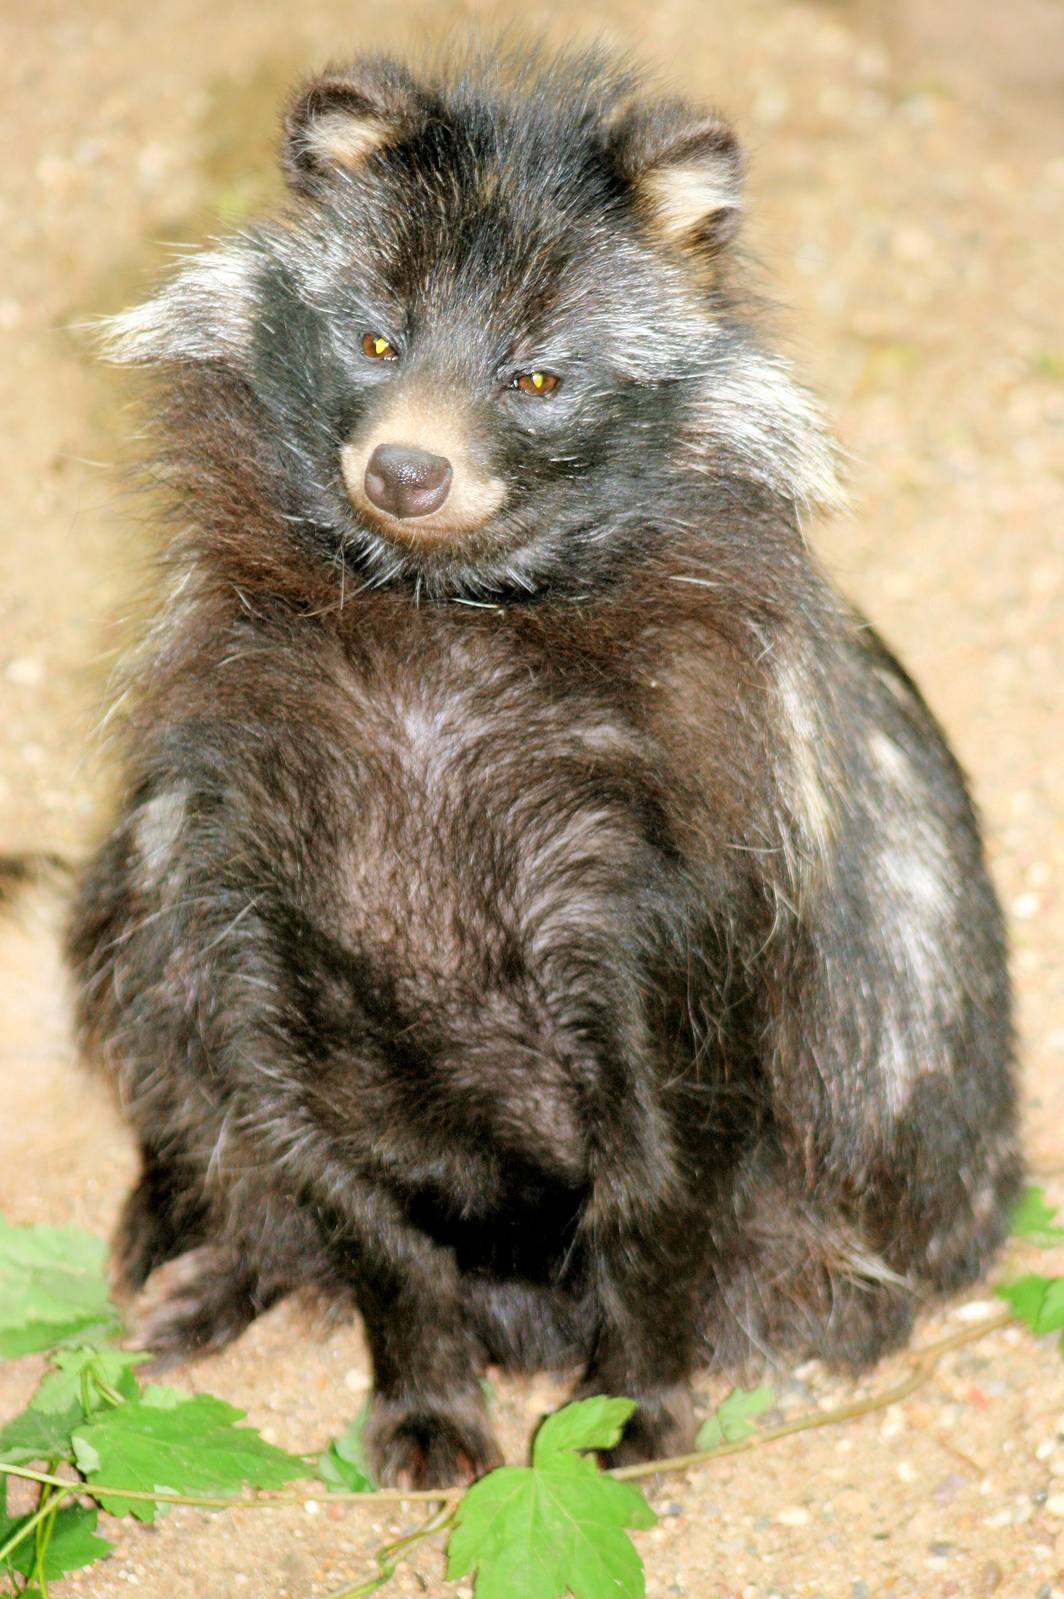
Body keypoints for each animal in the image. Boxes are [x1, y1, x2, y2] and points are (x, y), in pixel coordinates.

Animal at [68, 47, 1019, 1487]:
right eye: (375, 338)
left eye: (539, 381)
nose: (407, 467)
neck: (439, 627)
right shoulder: (241, 875)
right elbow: (347, 1195)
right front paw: (422, 1394)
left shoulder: (670, 911)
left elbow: (662, 1200)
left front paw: (631, 1410)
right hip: (142, 888)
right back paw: (211, 1270)